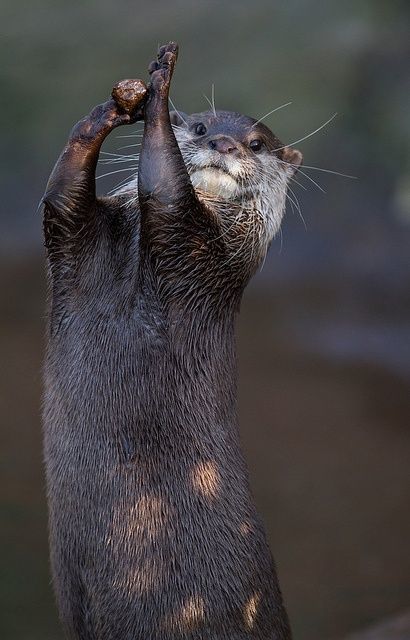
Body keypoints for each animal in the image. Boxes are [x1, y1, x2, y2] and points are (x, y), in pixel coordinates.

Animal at [41, 42, 302, 636]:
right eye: (204, 127)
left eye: (257, 144)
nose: (224, 144)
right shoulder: (74, 240)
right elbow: (61, 196)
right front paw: (107, 112)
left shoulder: (197, 247)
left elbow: (165, 186)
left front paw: (160, 86)